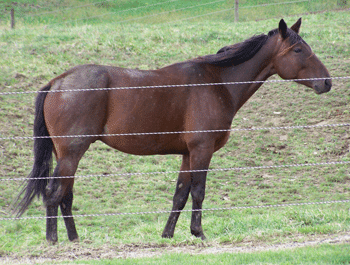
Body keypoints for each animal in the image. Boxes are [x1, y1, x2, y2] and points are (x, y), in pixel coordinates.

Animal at [14, 18, 330, 241]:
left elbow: (180, 194)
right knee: (54, 192)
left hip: (66, 154)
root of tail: (58, 81)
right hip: (72, 152)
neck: (216, 82)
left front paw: (167, 235)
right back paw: (54, 240)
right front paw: (199, 233)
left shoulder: (187, 153)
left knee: (65, 195)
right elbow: (199, 192)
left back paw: (74, 239)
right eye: (298, 49)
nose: (327, 82)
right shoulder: (202, 150)